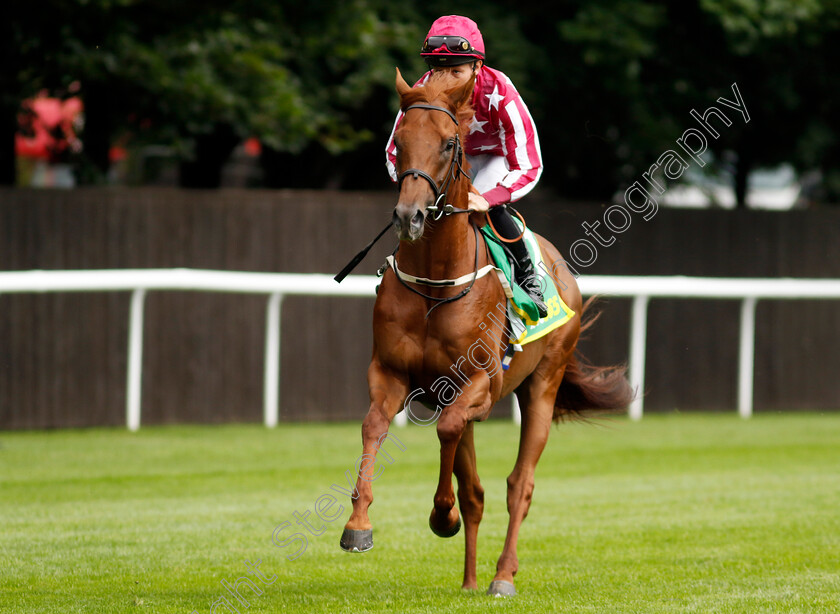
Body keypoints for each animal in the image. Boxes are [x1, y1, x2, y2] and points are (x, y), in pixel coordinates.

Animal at [338, 70, 632, 600]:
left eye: (449, 143)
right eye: (399, 141)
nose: (410, 216)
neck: (436, 282)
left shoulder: (482, 383)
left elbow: (449, 434)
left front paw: (441, 516)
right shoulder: (391, 373)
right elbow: (375, 428)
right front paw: (358, 525)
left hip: (543, 385)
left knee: (521, 484)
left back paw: (501, 576)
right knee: (475, 489)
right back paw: (471, 579)